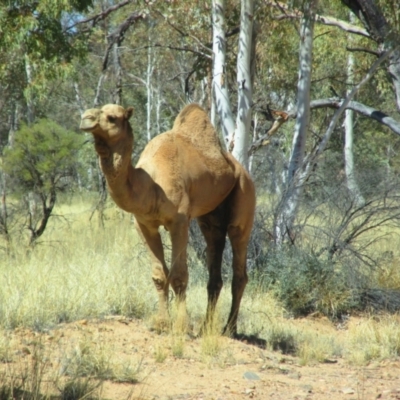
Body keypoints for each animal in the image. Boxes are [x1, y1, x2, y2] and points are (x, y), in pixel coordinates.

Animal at [80, 102, 256, 334]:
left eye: (112, 117)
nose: (85, 118)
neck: (151, 184)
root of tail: (241, 170)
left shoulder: (179, 221)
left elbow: (179, 275)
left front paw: (182, 326)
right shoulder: (144, 224)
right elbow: (159, 275)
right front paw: (162, 323)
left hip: (244, 195)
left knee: (239, 263)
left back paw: (229, 328)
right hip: (211, 219)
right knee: (215, 260)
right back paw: (206, 327)